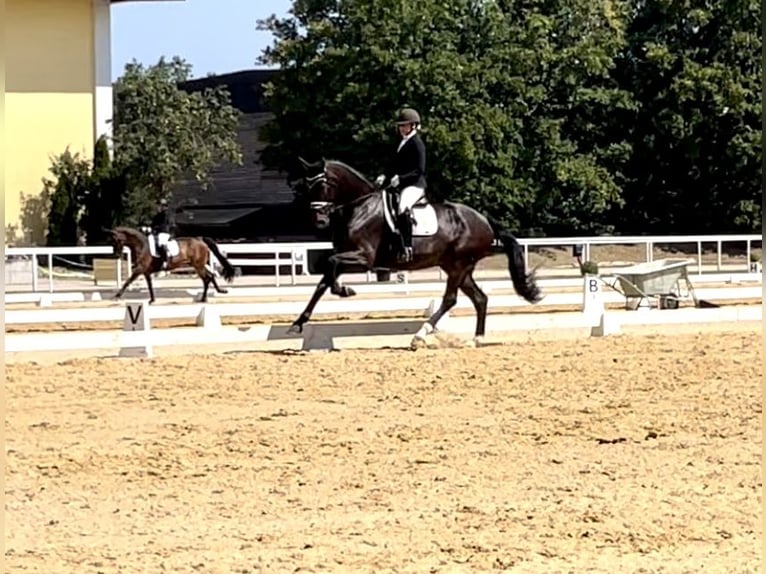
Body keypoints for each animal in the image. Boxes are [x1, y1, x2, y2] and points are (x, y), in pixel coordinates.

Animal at [105, 226, 237, 306]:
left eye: (116, 241)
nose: (116, 255)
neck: (141, 246)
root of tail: (200, 239)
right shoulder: (146, 272)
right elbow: (149, 286)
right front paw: (152, 300)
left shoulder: (139, 270)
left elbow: (128, 281)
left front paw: (116, 297)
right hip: (198, 265)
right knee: (210, 276)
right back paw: (218, 292)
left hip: (198, 266)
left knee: (207, 278)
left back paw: (205, 298)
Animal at [290, 156, 544, 342]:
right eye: (307, 186)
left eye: (323, 185)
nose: (320, 221)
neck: (360, 206)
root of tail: (485, 221)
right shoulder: (347, 256)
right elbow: (323, 282)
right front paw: (298, 322)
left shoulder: (364, 258)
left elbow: (330, 266)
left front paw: (345, 290)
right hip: (458, 267)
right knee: (479, 298)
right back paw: (477, 339)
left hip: (459, 265)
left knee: (450, 299)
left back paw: (421, 335)